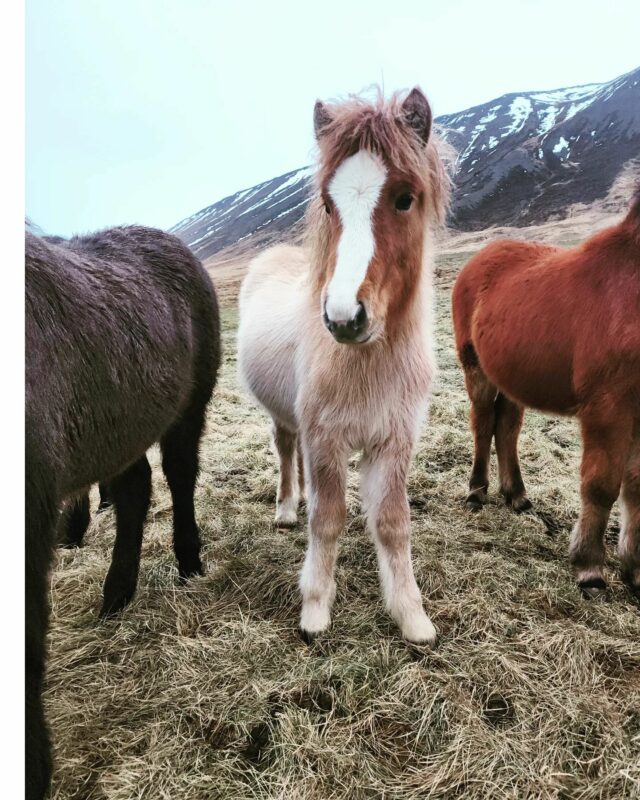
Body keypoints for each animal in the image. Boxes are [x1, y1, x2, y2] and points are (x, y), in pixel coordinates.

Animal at [26, 227, 220, 800]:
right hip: (124, 428)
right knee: (135, 491)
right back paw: (116, 596)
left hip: (187, 407)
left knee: (180, 476)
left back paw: (188, 564)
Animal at [235, 87, 450, 640]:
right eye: (328, 204)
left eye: (404, 198)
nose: (343, 317)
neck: (366, 362)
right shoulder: (326, 438)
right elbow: (328, 519)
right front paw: (315, 609)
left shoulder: (393, 441)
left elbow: (393, 524)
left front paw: (411, 615)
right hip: (287, 418)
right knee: (286, 450)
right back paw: (287, 508)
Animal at [452, 189, 640, 600]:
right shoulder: (608, 410)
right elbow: (600, 487)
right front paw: (589, 567)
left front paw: (635, 571)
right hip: (477, 371)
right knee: (483, 426)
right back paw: (477, 491)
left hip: (512, 378)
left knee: (506, 429)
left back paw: (517, 495)